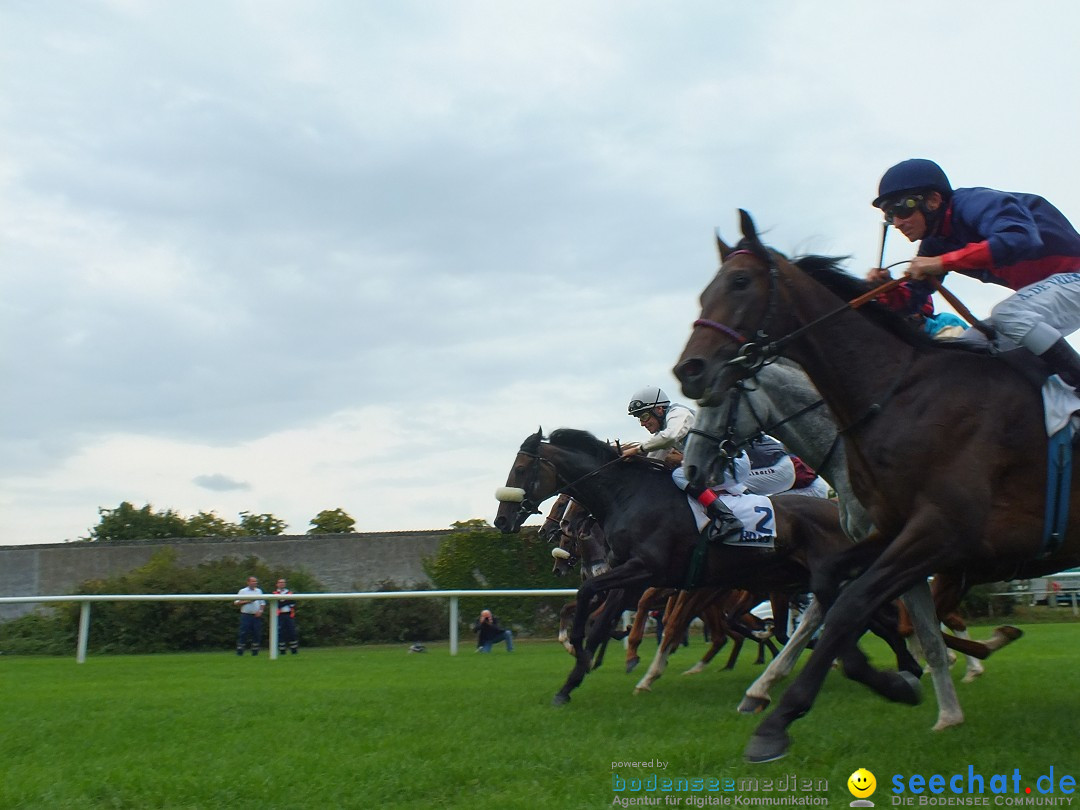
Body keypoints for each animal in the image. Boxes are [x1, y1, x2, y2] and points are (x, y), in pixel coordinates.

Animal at [494, 432, 924, 708]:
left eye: (520, 470)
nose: (502, 520)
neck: (630, 495)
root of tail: (844, 517)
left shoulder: (644, 570)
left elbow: (587, 598)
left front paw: (580, 648)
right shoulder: (635, 578)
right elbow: (601, 620)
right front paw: (573, 679)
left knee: (869, 619)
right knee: (868, 621)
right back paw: (907, 667)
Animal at [673, 207, 1080, 760]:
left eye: (739, 282)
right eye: (704, 293)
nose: (689, 370)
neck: (895, 396)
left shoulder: (940, 533)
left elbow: (855, 608)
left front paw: (780, 716)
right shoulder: (892, 533)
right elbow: (840, 599)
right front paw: (915, 693)